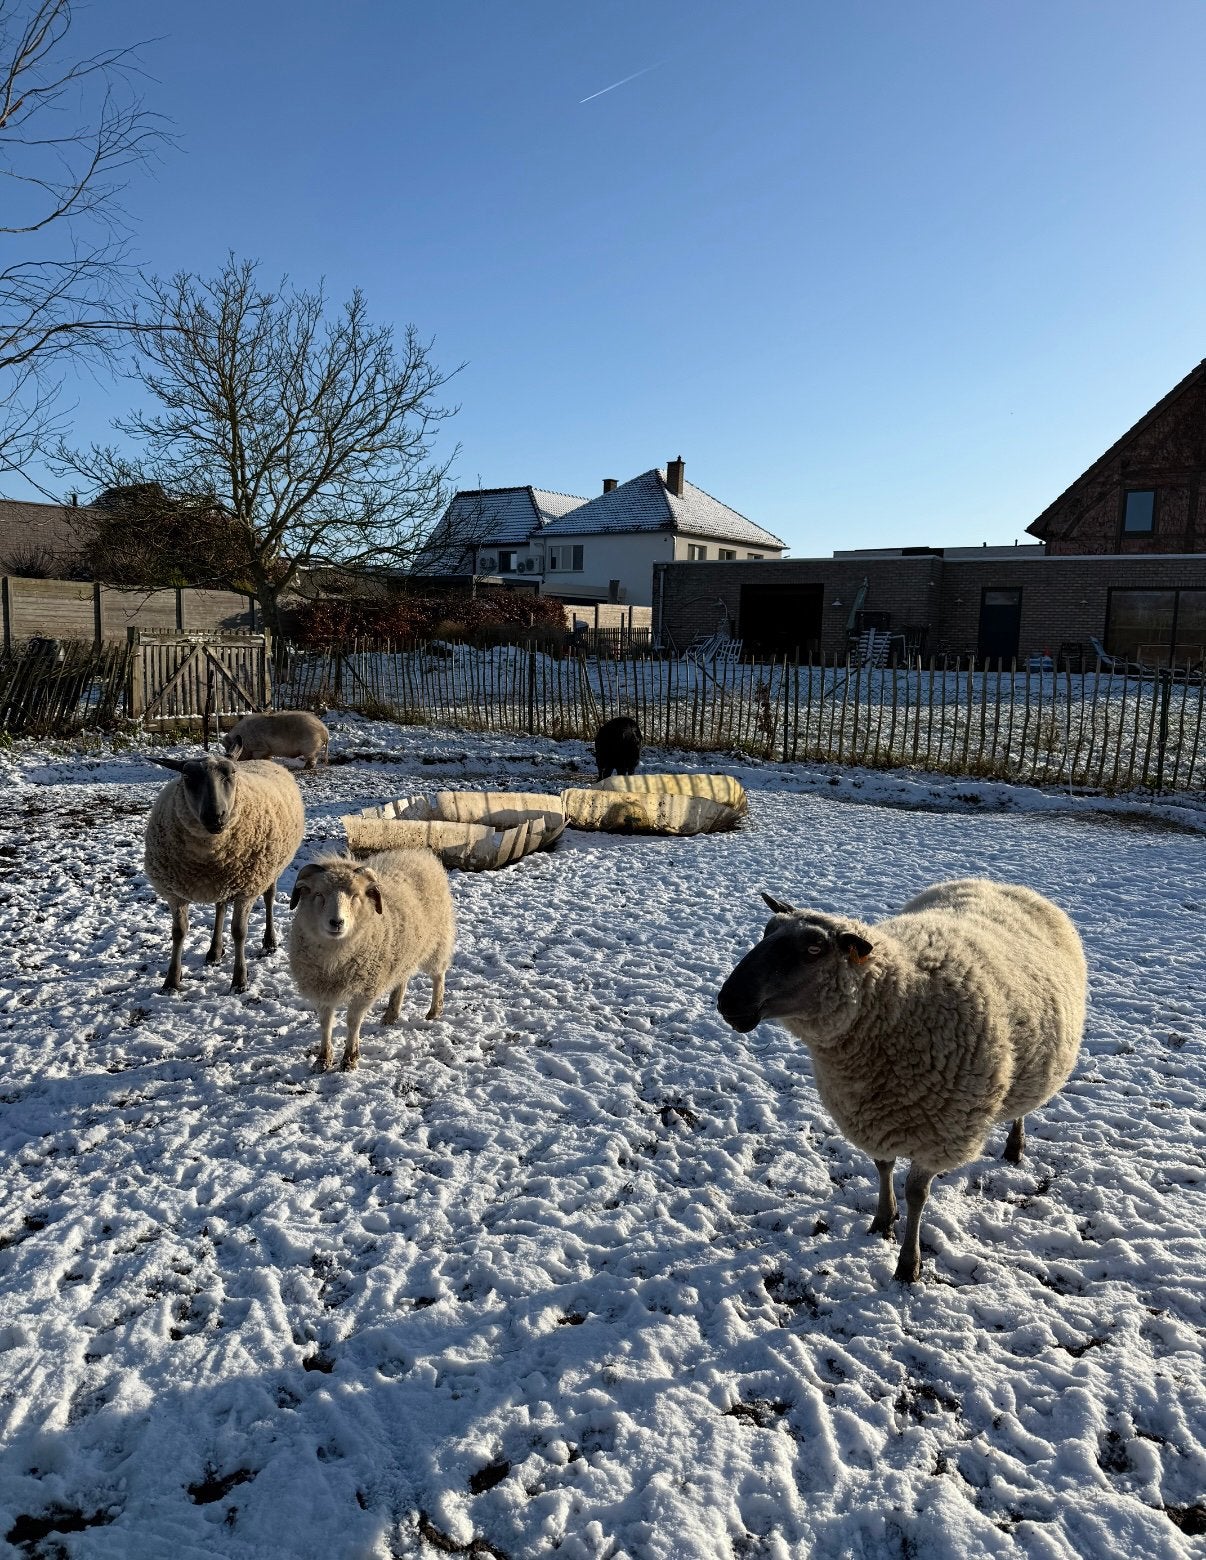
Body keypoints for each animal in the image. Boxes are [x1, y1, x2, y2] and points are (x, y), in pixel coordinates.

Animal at [145, 755, 305, 994]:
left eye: (232, 774)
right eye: (187, 776)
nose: (215, 817)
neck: (209, 854)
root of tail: (267, 760)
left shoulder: (247, 889)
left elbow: (239, 932)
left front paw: (240, 980)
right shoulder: (174, 893)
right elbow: (179, 932)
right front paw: (171, 981)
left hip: (270, 869)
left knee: (269, 898)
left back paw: (269, 941)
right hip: (224, 880)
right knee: (220, 906)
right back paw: (215, 951)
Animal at [287, 848, 455, 1071]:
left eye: (355, 896)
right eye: (319, 894)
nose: (337, 922)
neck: (335, 957)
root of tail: (420, 854)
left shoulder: (365, 989)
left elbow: (353, 1021)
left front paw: (349, 1059)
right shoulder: (321, 989)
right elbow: (325, 1023)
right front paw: (323, 1059)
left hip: (437, 942)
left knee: (438, 975)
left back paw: (434, 1011)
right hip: (402, 954)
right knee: (401, 981)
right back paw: (391, 1014)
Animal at [717, 878, 1087, 1284]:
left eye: (814, 949)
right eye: (766, 931)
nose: (727, 1001)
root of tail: (999, 883)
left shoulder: (938, 1135)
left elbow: (916, 1195)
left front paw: (908, 1264)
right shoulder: (874, 1115)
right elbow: (883, 1167)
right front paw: (882, 1220)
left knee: (1022, 1109)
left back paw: (1014, 1147)